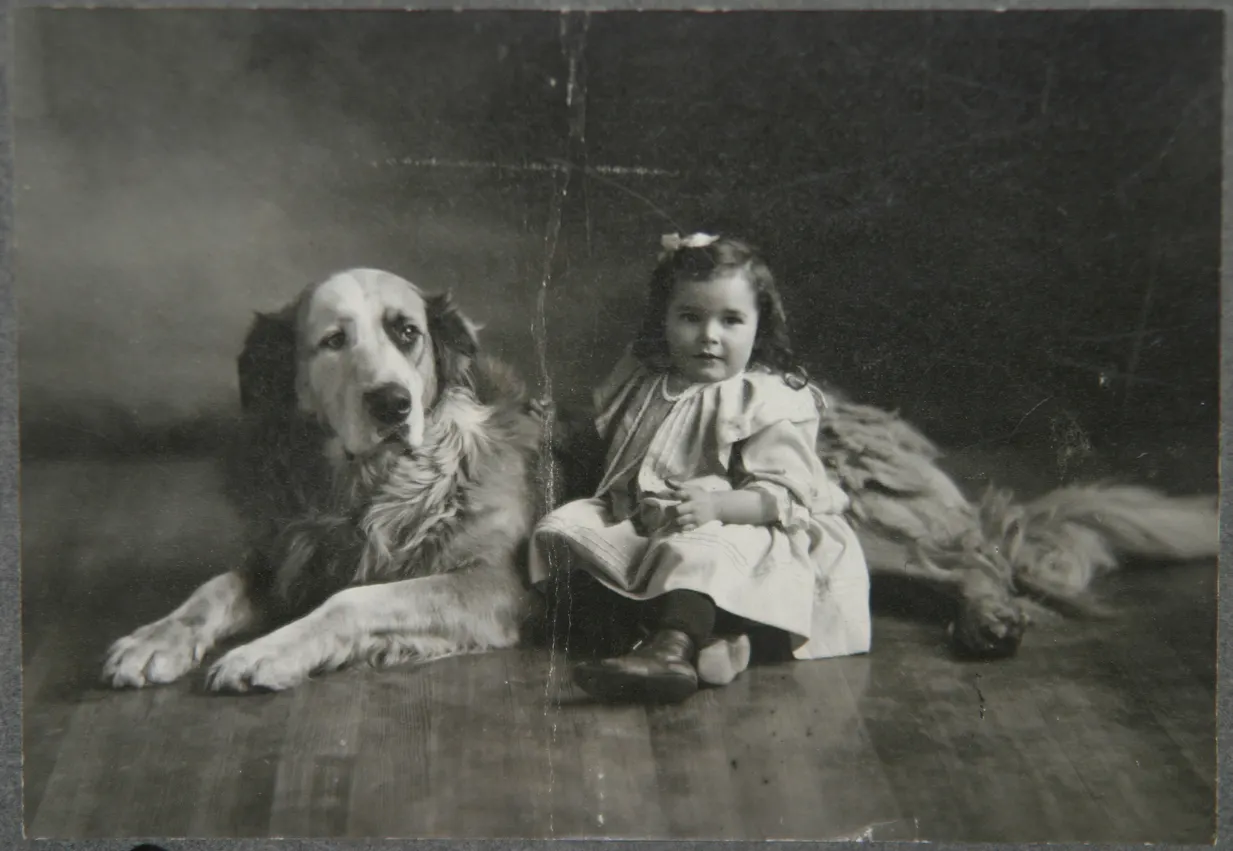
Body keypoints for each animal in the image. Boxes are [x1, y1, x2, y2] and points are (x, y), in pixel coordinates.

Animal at [103, 268, 547, 685]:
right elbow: (214, 588)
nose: (393, 404)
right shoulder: (286, 562)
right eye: (334, 341)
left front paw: (264, 652)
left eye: (407, 332)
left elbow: (352, 600)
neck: (367, 483)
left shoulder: (494, 582)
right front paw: (154, 639)